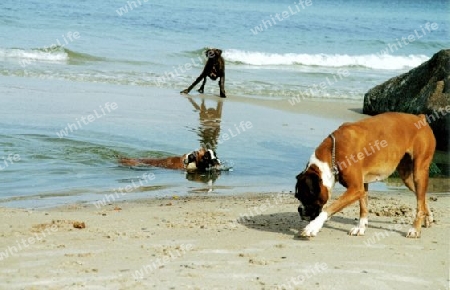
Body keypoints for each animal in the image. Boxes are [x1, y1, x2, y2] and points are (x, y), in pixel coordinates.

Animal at [296, 112, 436, 239]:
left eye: (305, 196)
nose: (299, 209)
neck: (332, 152)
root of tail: (420, 117)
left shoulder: (355, 188)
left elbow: (329, 208)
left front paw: (312, 227)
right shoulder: (362, 186)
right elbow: (363, 207)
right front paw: (361, 227)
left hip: (419, 172)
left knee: (420, 200)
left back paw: (415, 229)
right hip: (407, 177)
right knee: (422, 197)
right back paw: (427, 217)